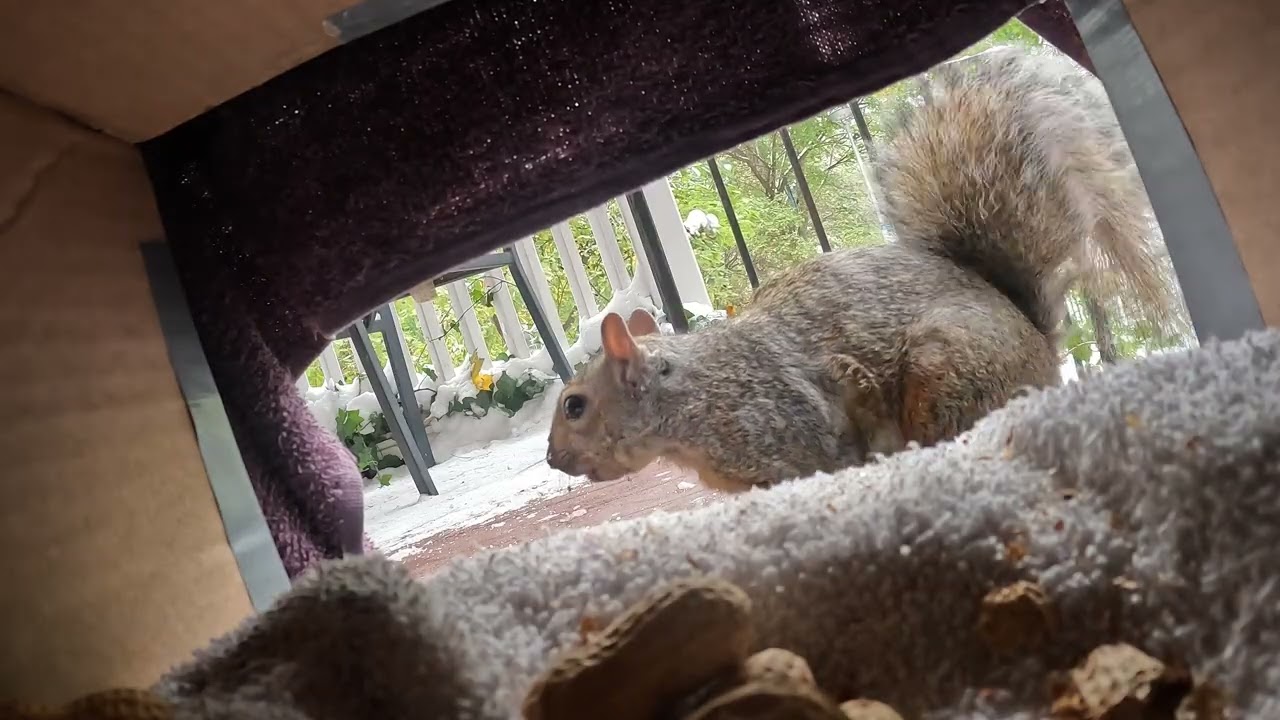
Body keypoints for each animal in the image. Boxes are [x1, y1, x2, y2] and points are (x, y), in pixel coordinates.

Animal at [545, 48, 1176, 492]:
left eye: (575, 405)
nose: (552, 459)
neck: (690, 404)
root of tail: (1036, 340)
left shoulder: (790, 427)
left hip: (946, 371)